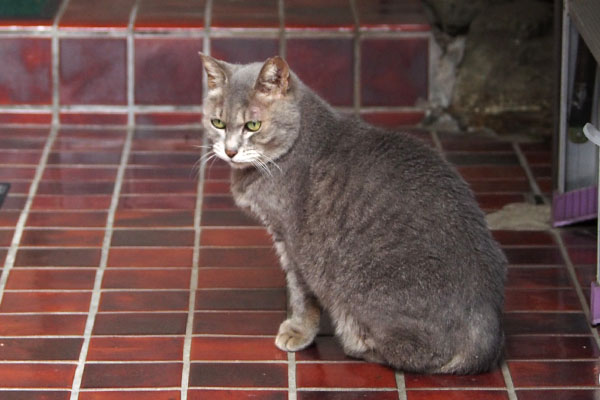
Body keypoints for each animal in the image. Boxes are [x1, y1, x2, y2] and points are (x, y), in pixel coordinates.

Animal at [199, 54, 504, 376]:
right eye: (217, 123)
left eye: (253, 125)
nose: (230, 151)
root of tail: (488, 329)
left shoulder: (293, 242)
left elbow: (300, 293)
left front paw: (297, 331)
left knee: (415, 354)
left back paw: (357, 345)